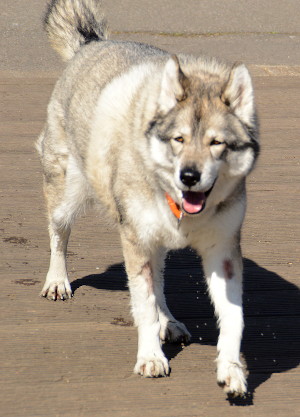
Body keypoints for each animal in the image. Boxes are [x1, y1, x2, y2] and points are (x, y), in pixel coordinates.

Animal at [37, 0, 258, 396]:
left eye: (217, 143)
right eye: (179, 139)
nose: (189, 176)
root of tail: (92, 44)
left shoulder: (223, 251)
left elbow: (233, 317)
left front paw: (232, 370)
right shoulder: (136, 240)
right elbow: (143, 305)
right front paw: (150, 357)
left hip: (153, 240)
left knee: (159, 283)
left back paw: (169, 321)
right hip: (69, 197)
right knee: (58, 234)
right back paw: (58, 281)